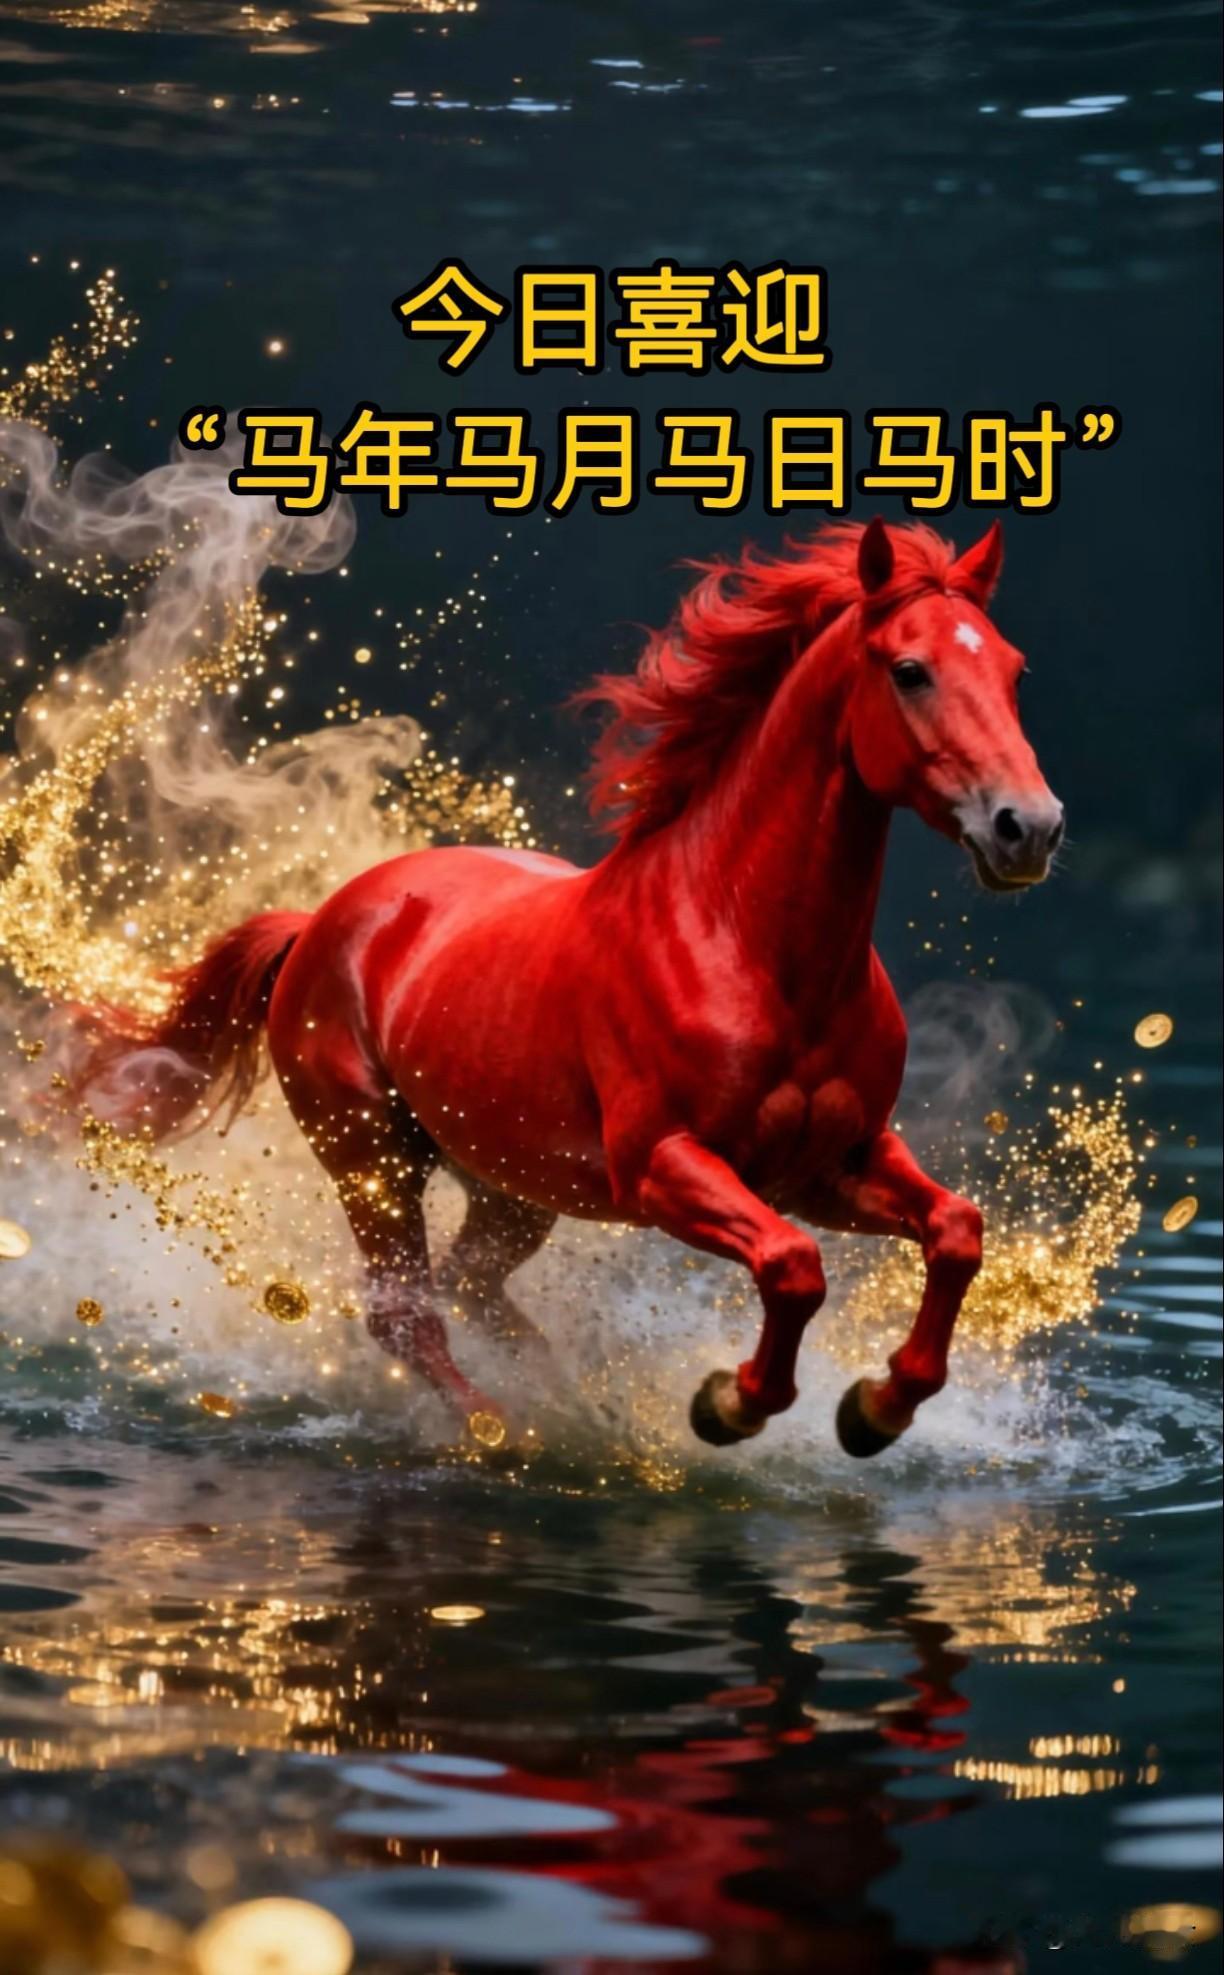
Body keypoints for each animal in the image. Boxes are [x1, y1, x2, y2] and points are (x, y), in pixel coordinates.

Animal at [78, 517, 1064, 1458]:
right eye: (910, 670)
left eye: (1015, 668)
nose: (1029, 827)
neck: (756, 950)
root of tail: (320, 919)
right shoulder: (663, 1167)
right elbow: (793, 1266)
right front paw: (730, 1403)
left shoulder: (834, 1163)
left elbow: (957, 1231)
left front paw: (874, 1409)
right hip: (370, 1157)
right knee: (406, 1314)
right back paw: (499, 1431)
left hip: (508, 1184)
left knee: (472, 1291)